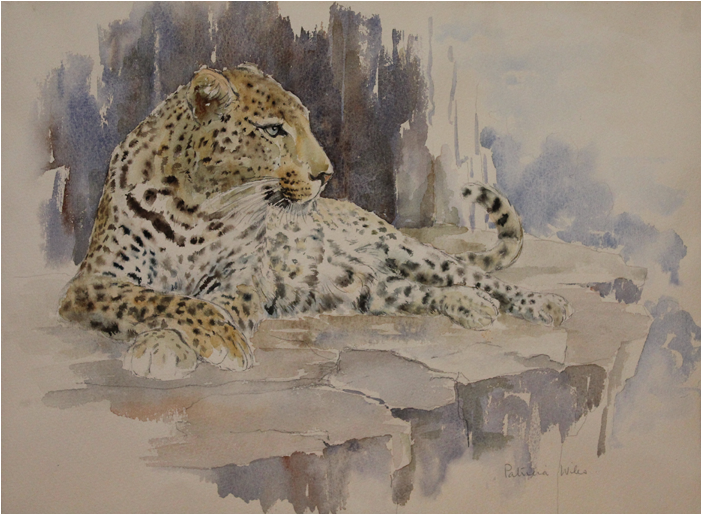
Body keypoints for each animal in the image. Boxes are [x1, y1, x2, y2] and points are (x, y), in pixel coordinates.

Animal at [58, 64, 573, 380]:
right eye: (273, 130)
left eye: (305, 124)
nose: (325, 174)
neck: (197, 203)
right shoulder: (93, 280)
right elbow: (159, 299)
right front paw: (172, 344)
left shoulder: (240, 281)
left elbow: (206, 305)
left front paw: (189, 343)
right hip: (365, 288)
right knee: (420, 292)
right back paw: (468, 305)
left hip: (408, 251)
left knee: (479, 276)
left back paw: (544, 303)